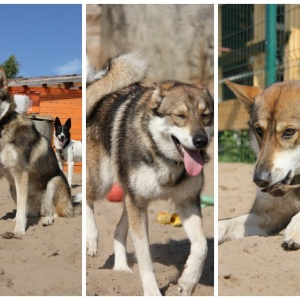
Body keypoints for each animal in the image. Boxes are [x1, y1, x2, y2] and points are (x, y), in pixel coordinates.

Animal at [0, 88, 79, 236]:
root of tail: (70, 203)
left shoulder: (21, 174)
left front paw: (19, 231)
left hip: (54, 182)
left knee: (54, 213)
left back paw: (47, 219)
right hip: (13, 188)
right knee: (27, 210)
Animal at [85, 52, 214, 296]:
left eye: (206, 116)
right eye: (179, 116)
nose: (201, 141)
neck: (167, 161)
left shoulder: (187, 201)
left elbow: (202, 245)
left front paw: (188, 281)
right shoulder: (137, 202)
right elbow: (145, 256)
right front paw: (153, 292)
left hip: (133, 198)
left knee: (118, 230)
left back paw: (121, 269)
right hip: (104, 183)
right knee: (85, 198)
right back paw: (92, 240)